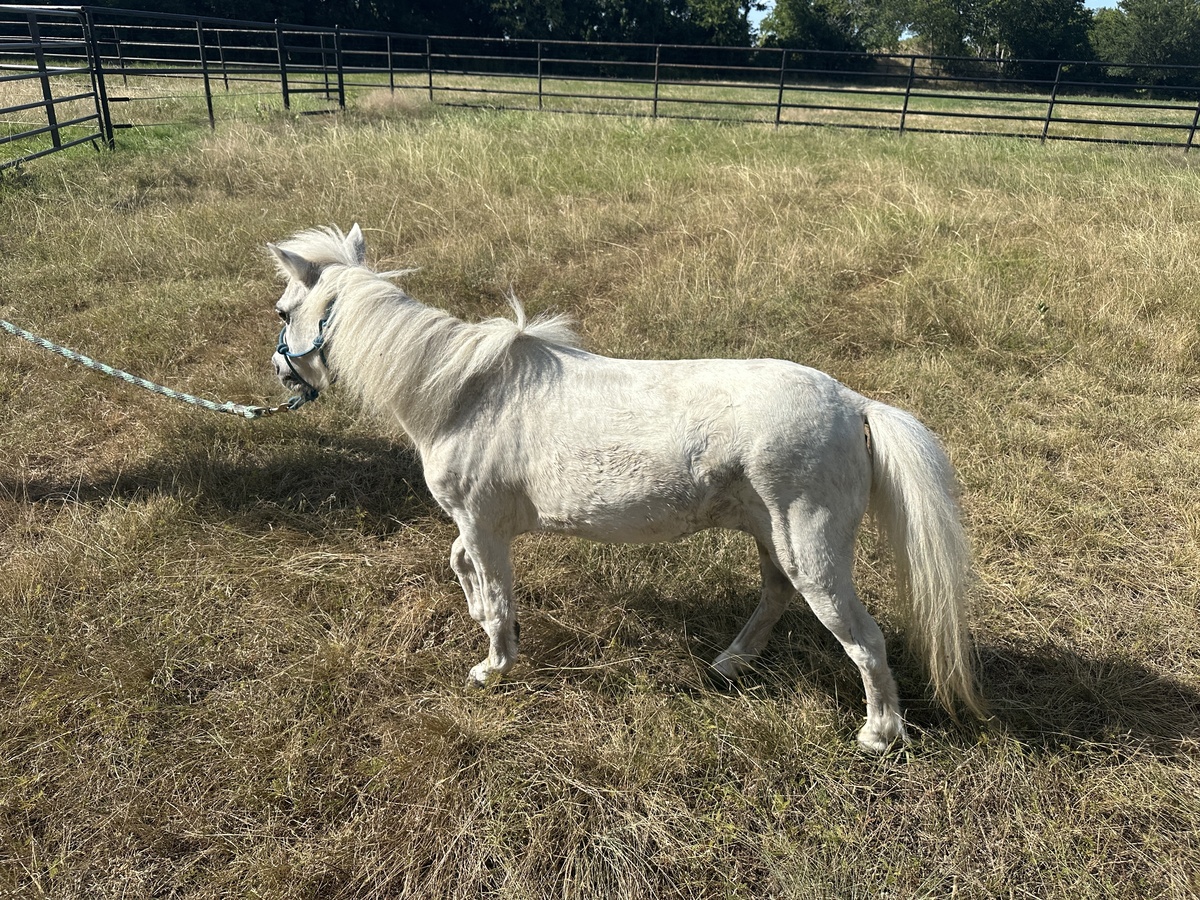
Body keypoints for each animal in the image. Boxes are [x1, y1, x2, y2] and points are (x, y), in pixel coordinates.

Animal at [268, 224, 986, 752]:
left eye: (282, 310)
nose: (281, 373)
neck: (462, 394)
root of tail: (853, 403)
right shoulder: (476, 527)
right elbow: (461, 565)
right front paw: (479, 620)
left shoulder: (481, 521)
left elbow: (494, 594)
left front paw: (493, 666)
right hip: (773, 536)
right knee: (775, 596)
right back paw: (729, 664)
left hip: (813, 551)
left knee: (863, 640)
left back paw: (879, 734)